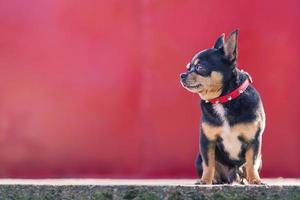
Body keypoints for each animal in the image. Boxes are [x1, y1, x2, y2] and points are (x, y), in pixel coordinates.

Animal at [179, 29, 264, 184]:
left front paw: (255, 180)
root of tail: (232, 177)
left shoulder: (253, 141)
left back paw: (245, 180)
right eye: (188, 67)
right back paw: (215, 180)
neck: (222, 100)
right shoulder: (207, 142)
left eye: (200, 67)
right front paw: (205, 181)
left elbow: (251, 162)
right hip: (198, 159)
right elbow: (208, 163)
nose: (182, 75)